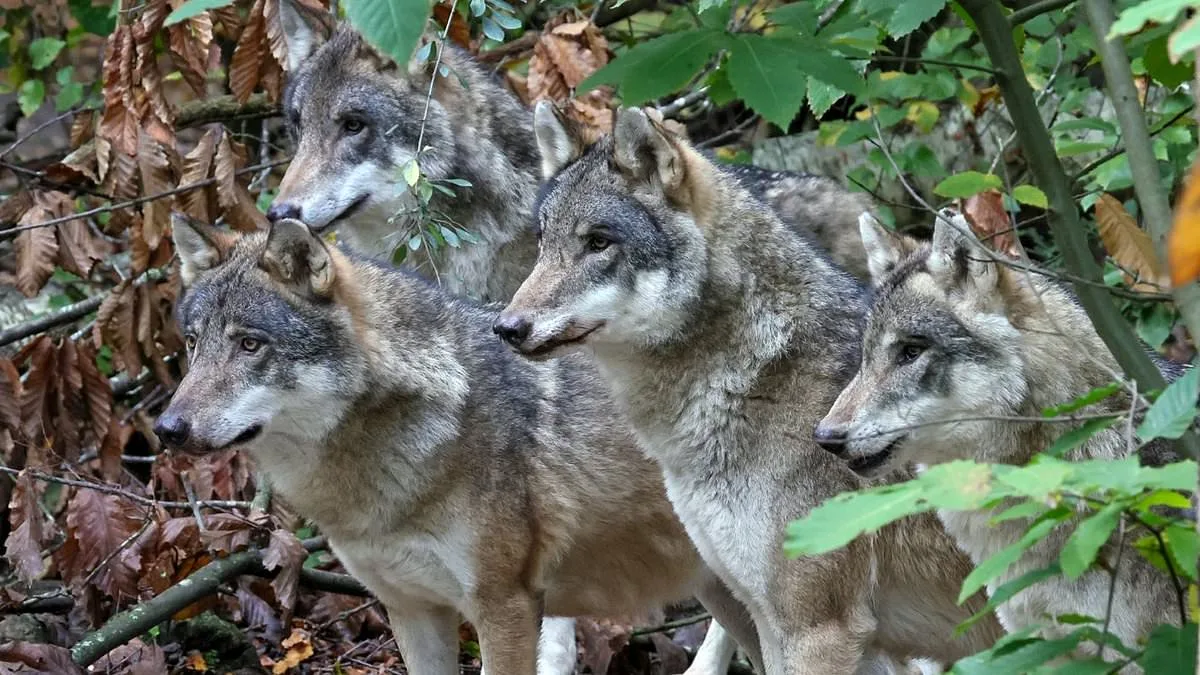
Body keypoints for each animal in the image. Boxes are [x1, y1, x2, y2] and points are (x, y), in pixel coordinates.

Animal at [493, 103, 1004, 674]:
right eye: (544, 243)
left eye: (598, 242)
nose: (507, 327)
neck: (759, 379)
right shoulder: (774, 617)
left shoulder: (820, 627)